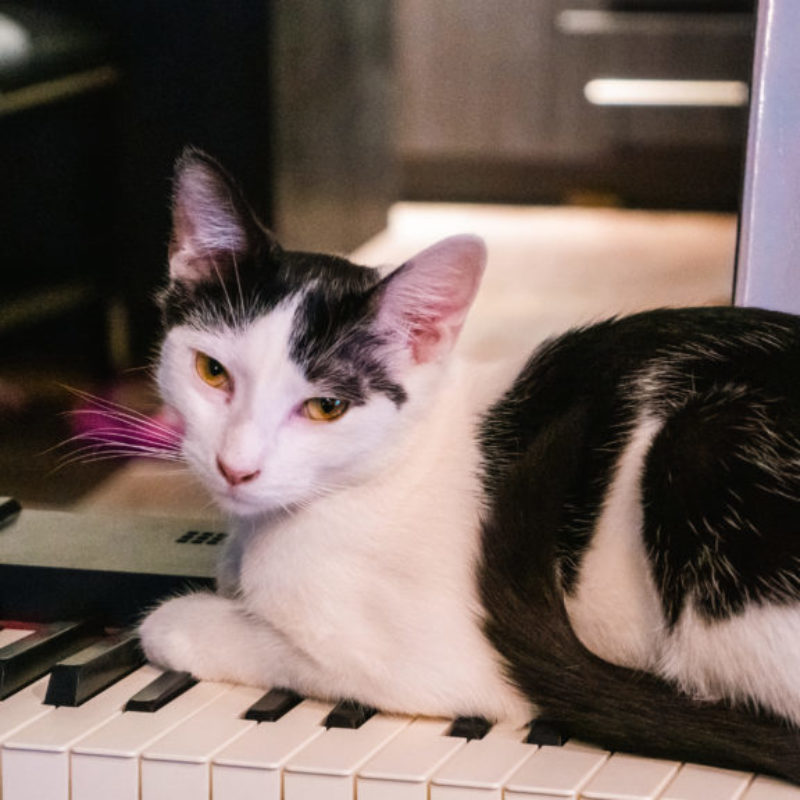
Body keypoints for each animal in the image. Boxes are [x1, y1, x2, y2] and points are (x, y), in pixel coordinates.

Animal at [141, 148, 800, 780]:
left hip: (704, 443)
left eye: (326, 407)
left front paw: (175, 622)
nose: (236, 468)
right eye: (211, 372)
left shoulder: (438, 663)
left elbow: (267, 643)